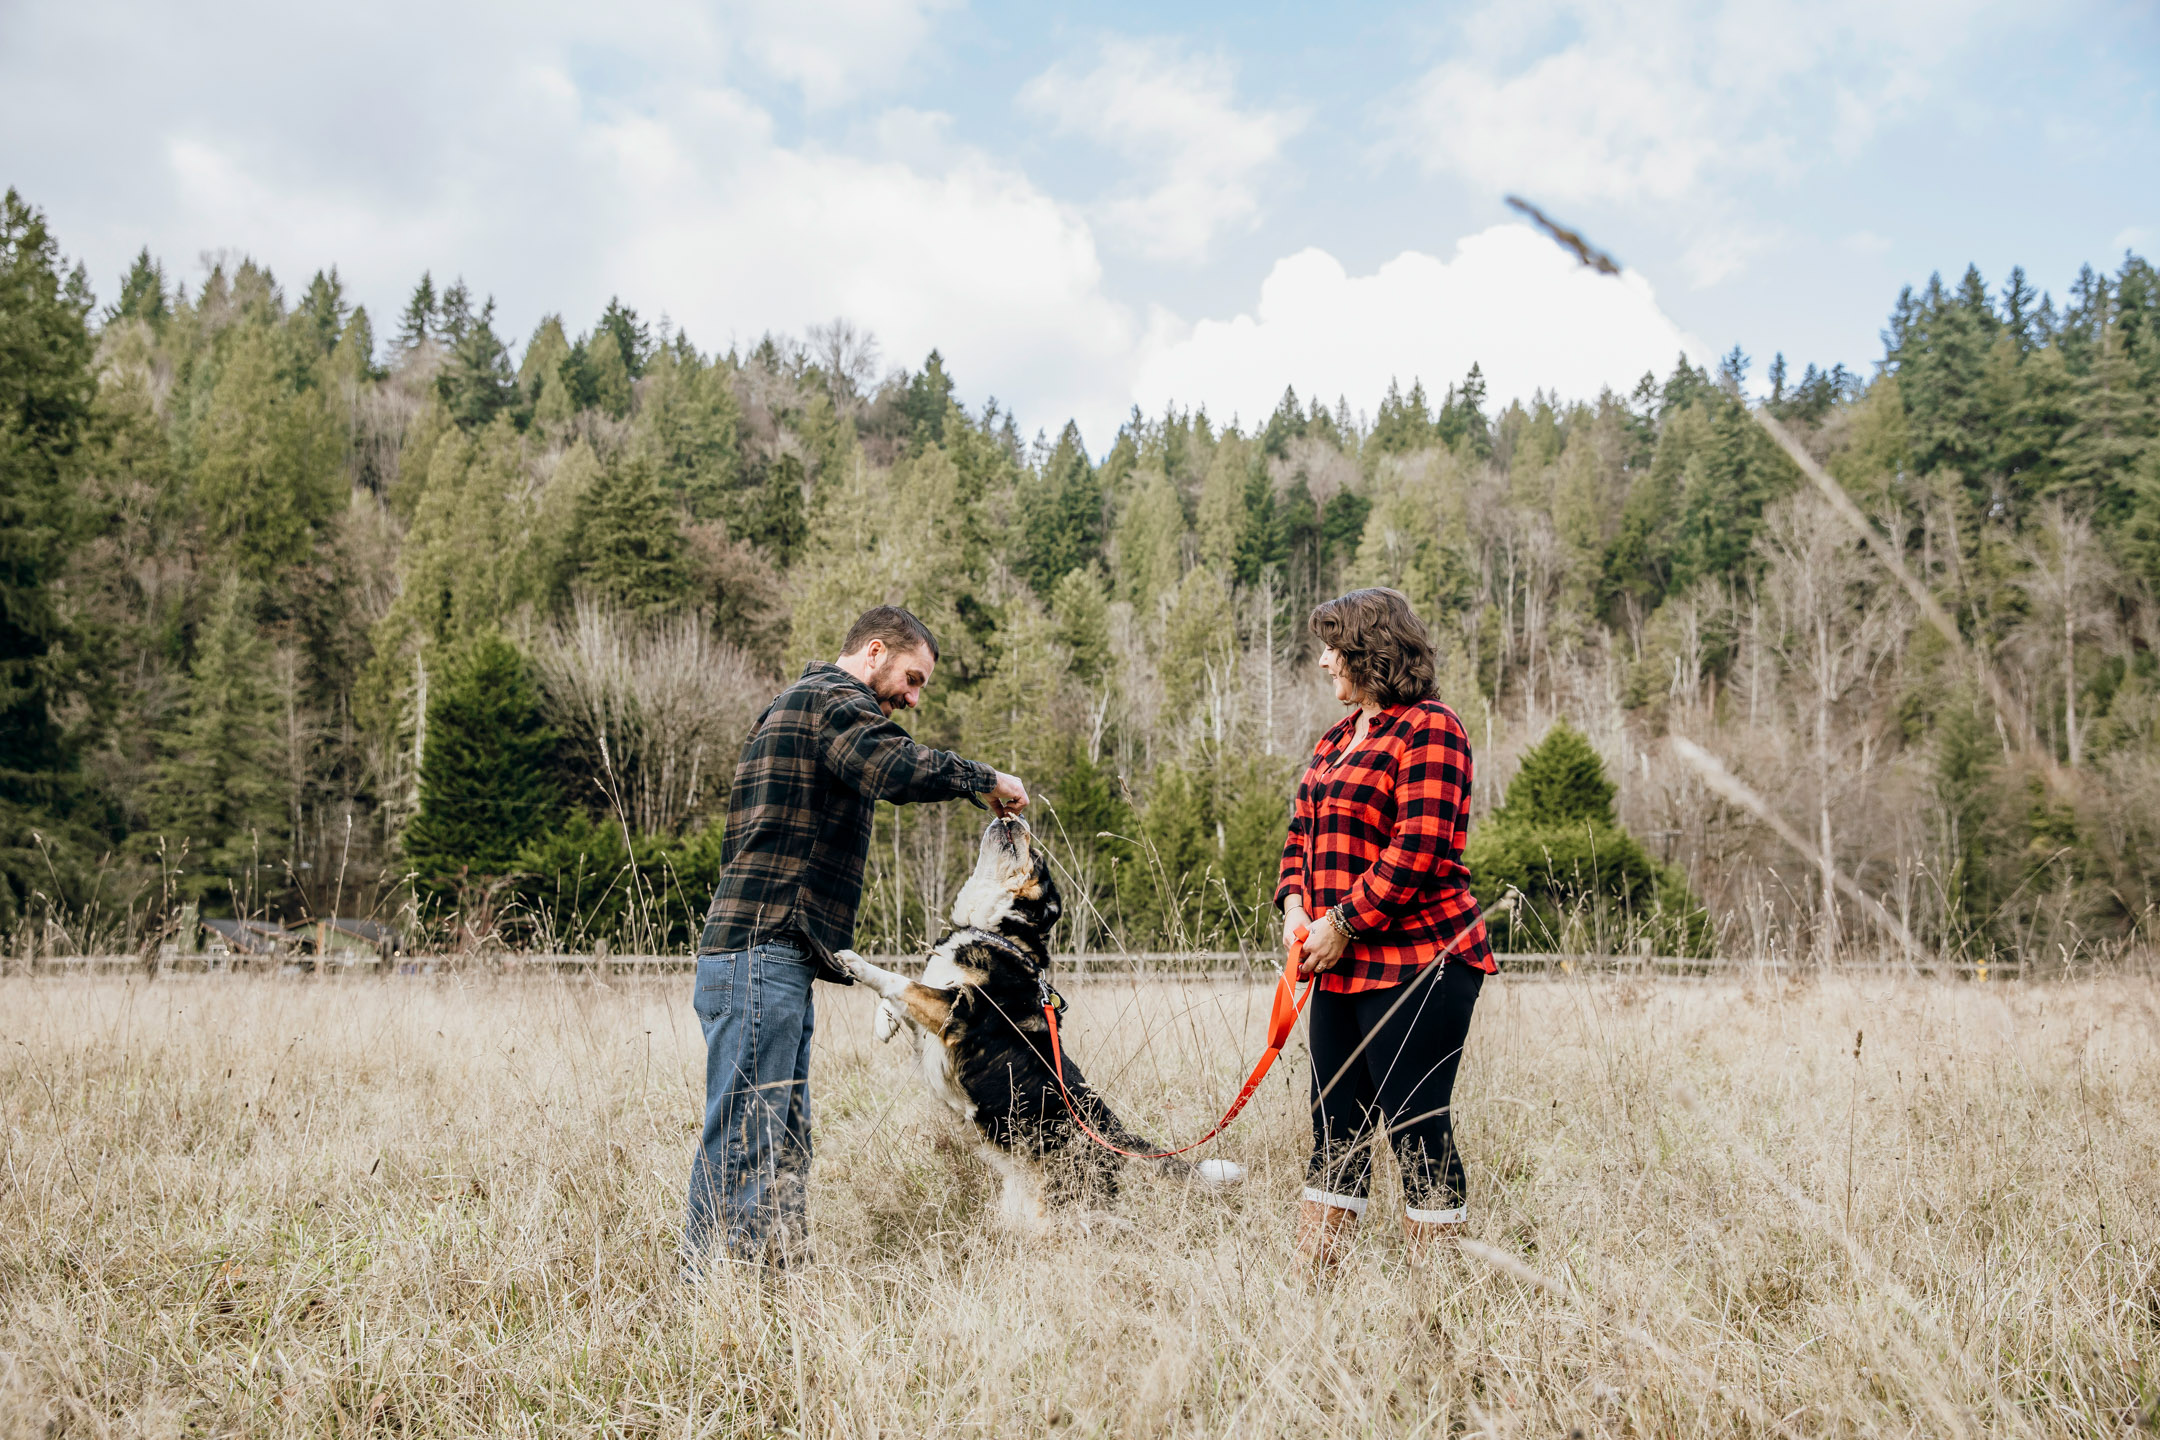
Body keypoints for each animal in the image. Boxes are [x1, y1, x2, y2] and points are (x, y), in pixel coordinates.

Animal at [842, 816, 1252, 1226]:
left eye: (1036, 857)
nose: (1017, 816)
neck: (996, 932)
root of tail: (1117, 1138)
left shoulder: (960, 1013)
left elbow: (901, 981)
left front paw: (855, 963)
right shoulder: (937, 1021)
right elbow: (905, 993)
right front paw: (883, 1024)